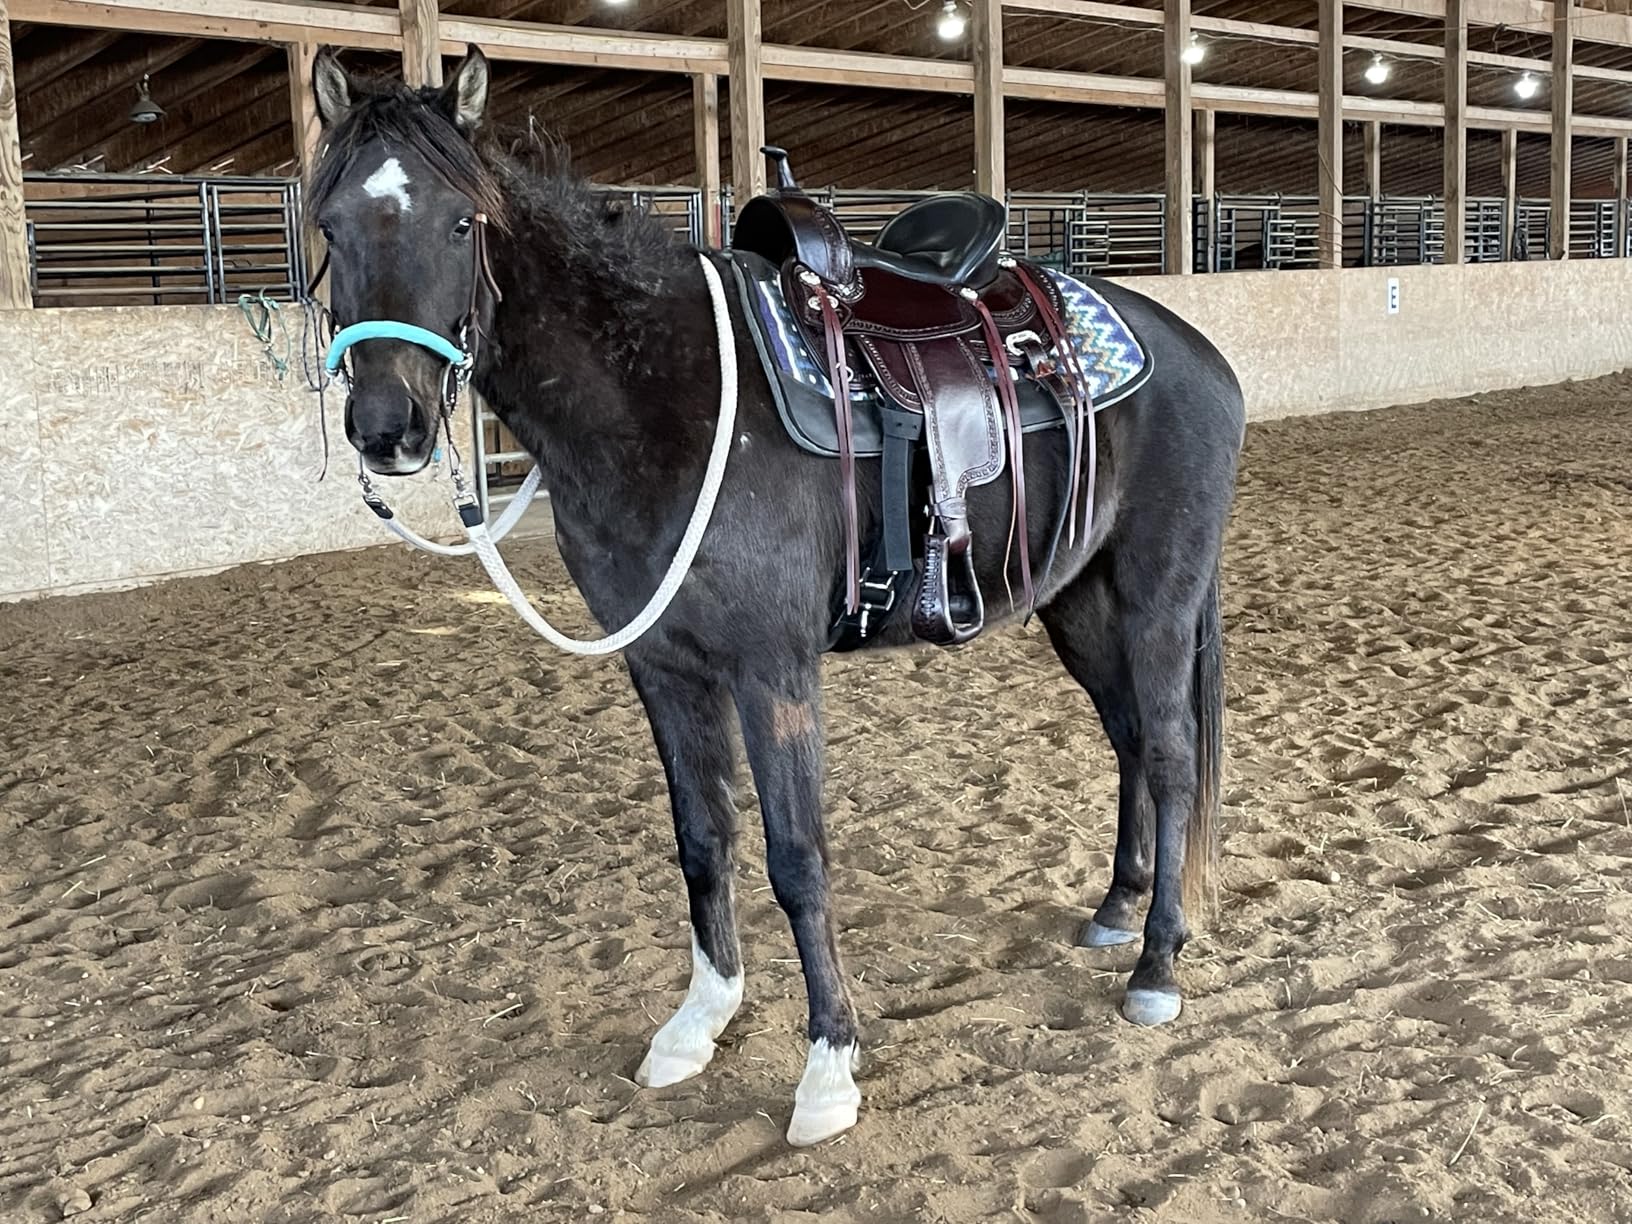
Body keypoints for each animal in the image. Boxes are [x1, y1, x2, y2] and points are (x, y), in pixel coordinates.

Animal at [307, 46, 1246, 1147]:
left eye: (461, 223)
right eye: (330, 224)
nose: (388, 425)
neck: (667, 393)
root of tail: (1196, 354)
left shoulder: (773, 669)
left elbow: (797, 859)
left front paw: (829, 1068)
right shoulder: (663, 665)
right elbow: (703, 841)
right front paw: (698, 1022)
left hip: (1156, 596)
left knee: (1174, 755)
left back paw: (1156, 964)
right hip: (1079, 603)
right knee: (1132, 741)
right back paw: (1114, 912)